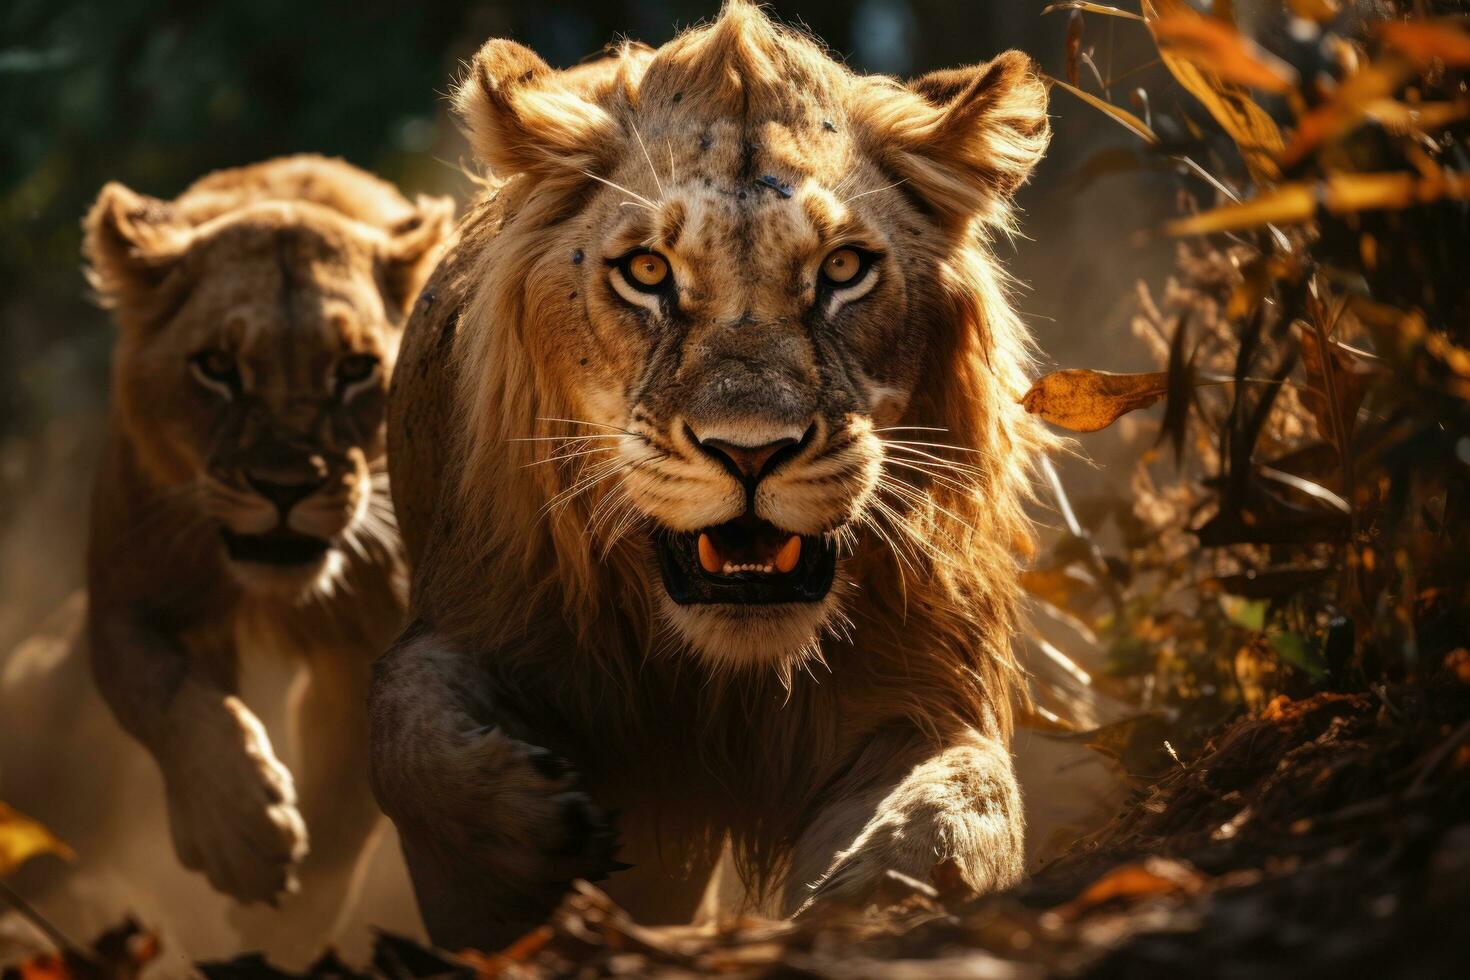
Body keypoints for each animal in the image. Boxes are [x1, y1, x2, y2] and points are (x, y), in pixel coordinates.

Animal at [83, 155, 449, 934]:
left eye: (354, 369)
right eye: (217, 367)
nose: (285, 487)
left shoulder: (371, 646)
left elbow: (345, 800)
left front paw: (283, 922)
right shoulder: (128, 602)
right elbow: (168, 697)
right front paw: (238, 830)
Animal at [373, 1, 1052, 952]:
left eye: (843, 269)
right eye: (648, 271)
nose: (751, 451)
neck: (726, 676)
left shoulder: (927, 696)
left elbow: (969, 806)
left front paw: (870, 899)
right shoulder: (472, 613)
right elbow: (402, 719)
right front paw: (529, 830)